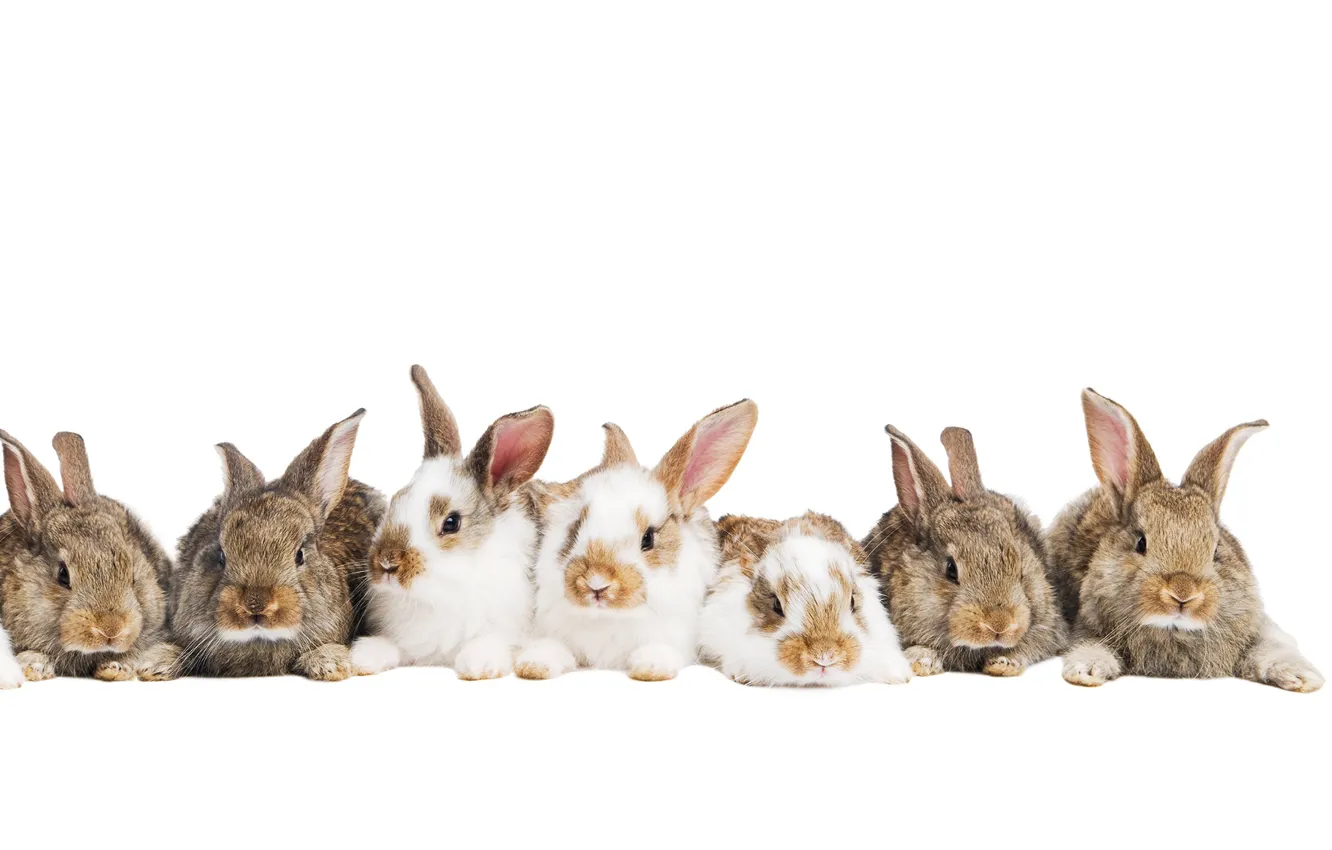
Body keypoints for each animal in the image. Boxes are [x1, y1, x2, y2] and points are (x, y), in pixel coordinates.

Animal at [350, 365, 554, 680]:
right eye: (396, 499)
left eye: (451, 523)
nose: (386, 563)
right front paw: (363, 657)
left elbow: (493, 641)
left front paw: (478, 663)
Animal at [514, 399, 758, 682]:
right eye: (575, 529)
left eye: (648, 539)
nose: (597, 583)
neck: (610, 618)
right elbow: (551, 647)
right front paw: (534, 666)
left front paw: (651, 669)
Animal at [1049, 389, 1322, 692]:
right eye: (1141, 543)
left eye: (1216, 550)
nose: (1183, 594)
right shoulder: (1087, 626)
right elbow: (1090, 646)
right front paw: (1087, 671)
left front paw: (1300, 676)